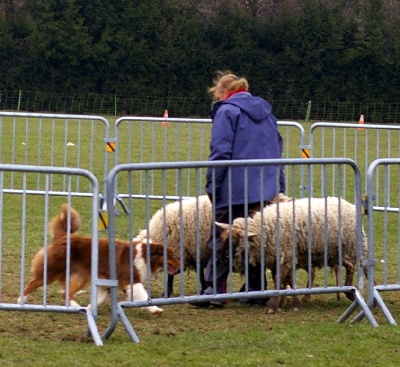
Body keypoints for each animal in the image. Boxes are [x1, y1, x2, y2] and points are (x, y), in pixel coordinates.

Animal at [18, 204, 180, 314]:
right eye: (171, 256)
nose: (180, 267)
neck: (145, 255)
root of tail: (63, 237)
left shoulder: (105, 284)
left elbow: (97, 300)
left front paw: (90, 310)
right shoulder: (131, 280)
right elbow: (144, 296)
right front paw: (155, 308)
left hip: (80, 277)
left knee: (66, 293)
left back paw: (77, 307)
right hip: (53, 271)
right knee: (33, 283)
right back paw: (21, 301)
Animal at [217, 197, 368, 314]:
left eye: (234, 243)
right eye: (223, 240)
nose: (223, 262)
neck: (264, 230)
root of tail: (349, 205)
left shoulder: (286, 256)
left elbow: (279, 281)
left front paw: (273, 306)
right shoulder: (279, 259)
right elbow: (284, 280)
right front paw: (289, 302)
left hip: (352, 246)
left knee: (358, 266)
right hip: (334, 254)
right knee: (348, 266)